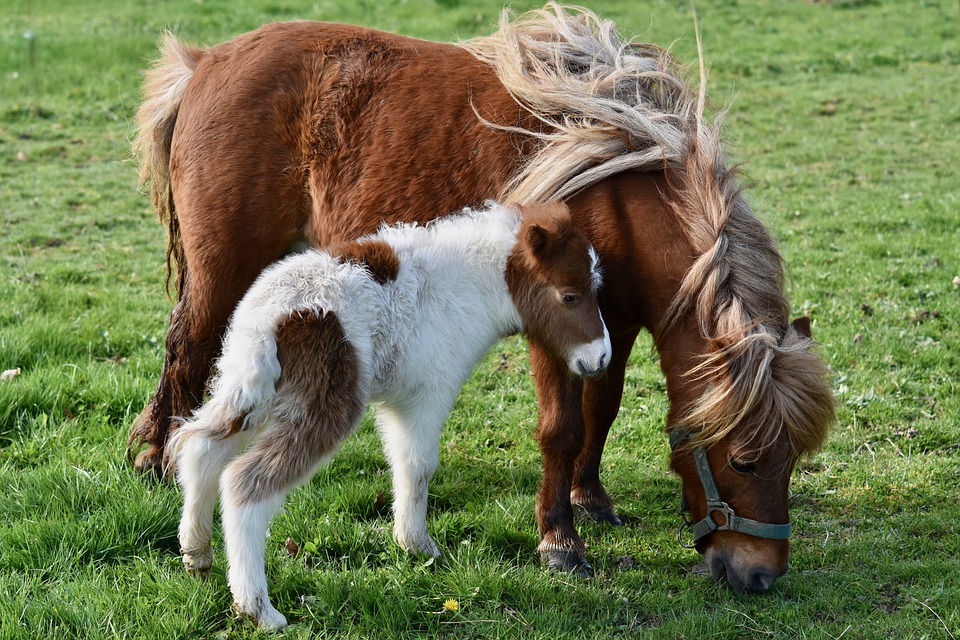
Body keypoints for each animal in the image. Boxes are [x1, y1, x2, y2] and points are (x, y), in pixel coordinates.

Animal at [171, 201, 608, 632]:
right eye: (569, 296)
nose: (601, 357)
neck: (465, 285)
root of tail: (270, 318)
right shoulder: (427, 395)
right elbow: (418, 466)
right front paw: (419, 546)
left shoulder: (399, 404)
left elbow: (402, 464)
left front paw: (410, 545)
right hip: (323, 402)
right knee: (244, 482)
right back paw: (258, 608)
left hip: (248, 387)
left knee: (201, 450)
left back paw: (197, 555)